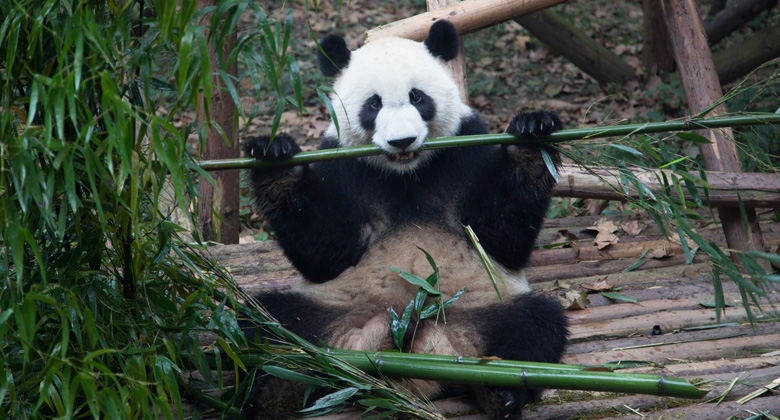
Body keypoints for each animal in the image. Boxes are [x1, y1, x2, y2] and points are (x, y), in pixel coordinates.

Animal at [242, 20, 568, 420]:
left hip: (482, 308)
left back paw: (499, 390)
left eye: (418, 97)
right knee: (265, 323)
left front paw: (532, 135)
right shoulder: (341, 161)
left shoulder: (466, 144)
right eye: (373, 104)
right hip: (324, 310)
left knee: (536, 325)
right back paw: (278, 387)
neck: (406, 173)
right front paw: (274, 158)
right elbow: (324, 252)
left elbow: (501, 238)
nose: (402, 141)